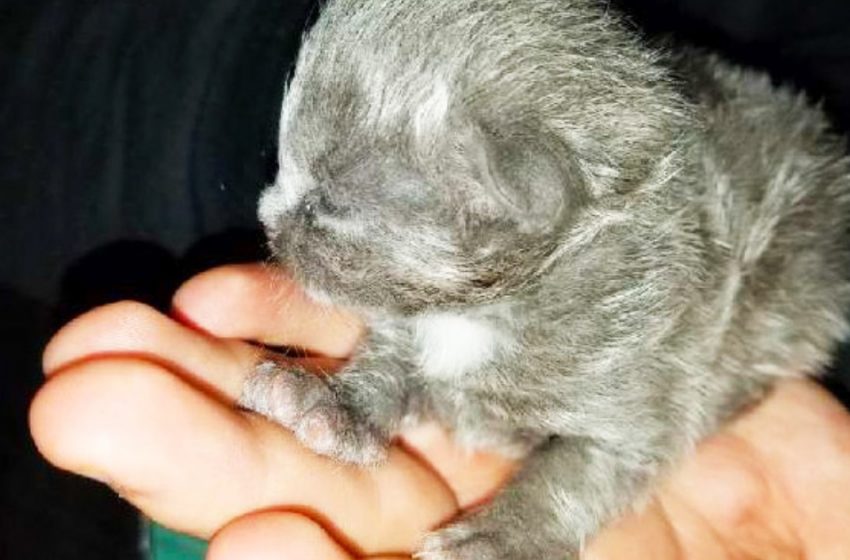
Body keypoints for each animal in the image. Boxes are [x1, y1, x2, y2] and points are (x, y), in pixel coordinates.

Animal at [237, 1, 848, 556]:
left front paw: (497, 539)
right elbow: (385, 367)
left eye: (329, 205)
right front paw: (330, 403)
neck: (478, 312)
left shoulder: (644, 399)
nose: (267, 217)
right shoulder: (407, 333)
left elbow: (570, 479)